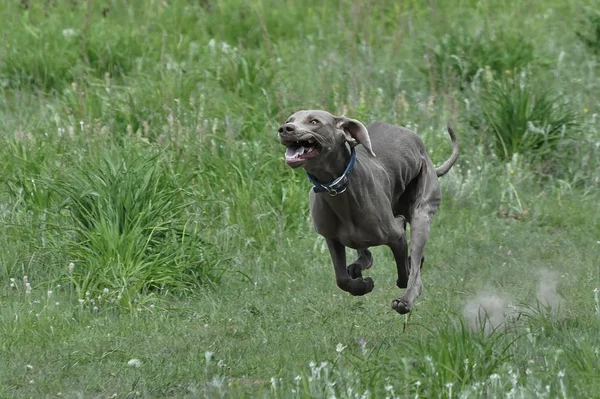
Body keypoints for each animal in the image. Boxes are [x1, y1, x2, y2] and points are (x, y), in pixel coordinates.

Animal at [278, 111, 460, 314]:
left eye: (314, 121)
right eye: (289, 120)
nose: (284, 129)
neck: (339, 187)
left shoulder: (396, 236)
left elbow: (405, 274)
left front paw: (404, 283)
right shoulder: (331, 238)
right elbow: (341, 279)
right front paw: (363, 286)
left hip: (422, 209)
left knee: (414, 264)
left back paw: (406, 299)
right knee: (365, 253)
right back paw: (358, 266)